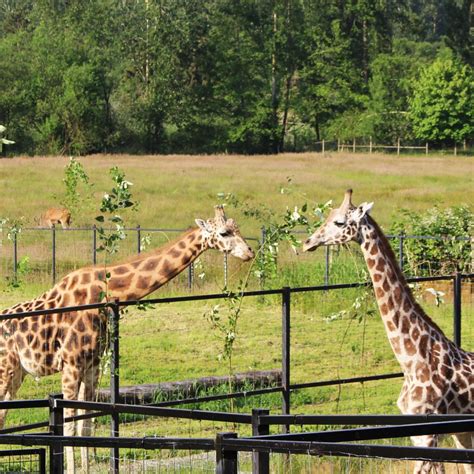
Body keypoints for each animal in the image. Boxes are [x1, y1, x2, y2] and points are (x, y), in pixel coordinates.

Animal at [0, 206, 256, 474]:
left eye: (238, 228)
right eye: (224, 232)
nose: (250, 252)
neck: (104, 293)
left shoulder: (92, 363)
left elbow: (85, 425)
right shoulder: (71, 363)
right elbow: (69, 427)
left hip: (17, 373)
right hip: (5, 369)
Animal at [304, 191, 474, 474]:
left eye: (339, 222)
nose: (308, 242)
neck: (412, 359)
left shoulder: (429, 433)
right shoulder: (419, 433)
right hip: (463, 431)